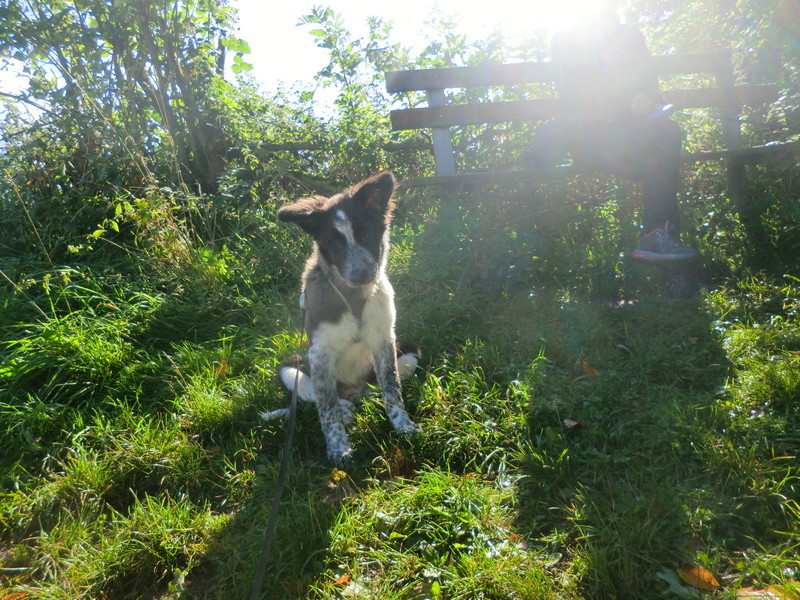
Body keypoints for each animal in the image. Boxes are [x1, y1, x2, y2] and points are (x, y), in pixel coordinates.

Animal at [268, 171, 422, 466]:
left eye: (366, 234)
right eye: (336, 243)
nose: (361, 276)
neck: (353, 294)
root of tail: (354, 391)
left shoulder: (385, 340)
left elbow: (392, 388)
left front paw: (403, 426)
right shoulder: (319, 353)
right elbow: (327, 408)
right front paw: (339, 449)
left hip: (409, 351)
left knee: (377, 387)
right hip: (291, 365)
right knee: (319, 397)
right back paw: (347, 408)